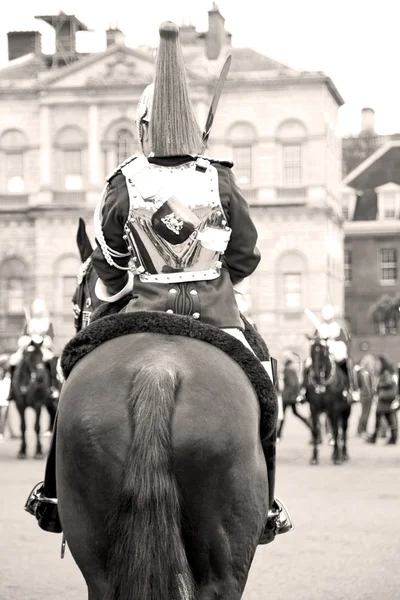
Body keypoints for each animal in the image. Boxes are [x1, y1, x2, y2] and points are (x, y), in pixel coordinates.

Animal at [304, 336, 352, 466]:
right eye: (310, 350)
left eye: (324, 351)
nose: (316, 375)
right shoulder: (314, 408)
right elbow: (315, 431)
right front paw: (314, 458)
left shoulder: (335, 409)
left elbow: (336, 431)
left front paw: (338, 458)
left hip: (345, 411)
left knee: (343, 430)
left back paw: (343, 454)